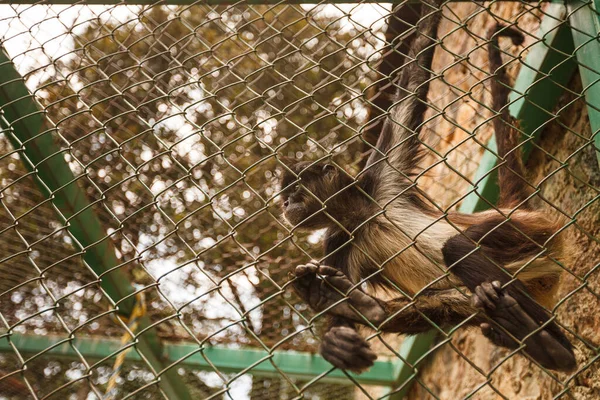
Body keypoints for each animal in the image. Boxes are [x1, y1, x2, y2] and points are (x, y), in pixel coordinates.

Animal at [278, 3, 580, 376]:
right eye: (285, 196)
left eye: (295, 190)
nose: (285, 204)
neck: (363, 216)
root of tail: (514, 209)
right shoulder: (338, 240)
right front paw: (336, 339)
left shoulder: (382, 174)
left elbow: (414, 75)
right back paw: (359, 307)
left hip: (528, 230)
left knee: (457, 246)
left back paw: (556, 349)